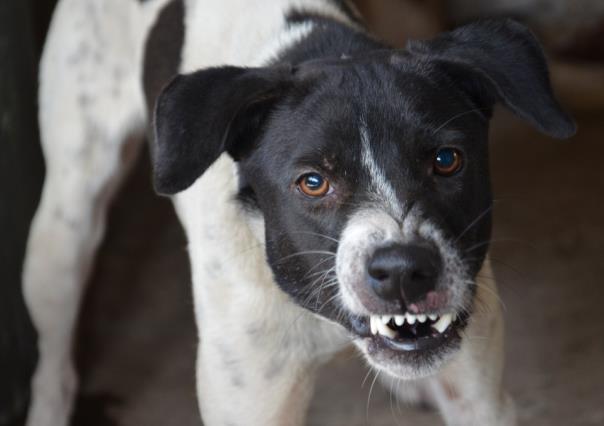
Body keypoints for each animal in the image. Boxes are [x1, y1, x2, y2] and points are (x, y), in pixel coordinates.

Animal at [21, 0, 572, 426]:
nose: (403, 271)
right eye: (312, 182)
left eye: (446, 160)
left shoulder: (480, 398)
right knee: (53, 359)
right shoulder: (252, 401)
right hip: (64, 227)